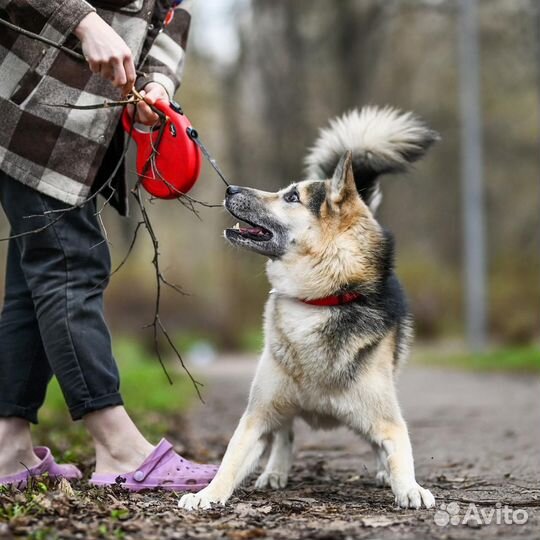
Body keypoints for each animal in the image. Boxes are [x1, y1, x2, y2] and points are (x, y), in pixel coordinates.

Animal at [178, 105, 438, 510]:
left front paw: (410, 487)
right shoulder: (256, 416)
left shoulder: (387, 420)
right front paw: (208, 494)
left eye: (291, 197)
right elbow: (232, 459)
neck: (320, 300)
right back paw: (274, 471)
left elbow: (400, 452)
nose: (229, 188)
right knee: (284, 433)